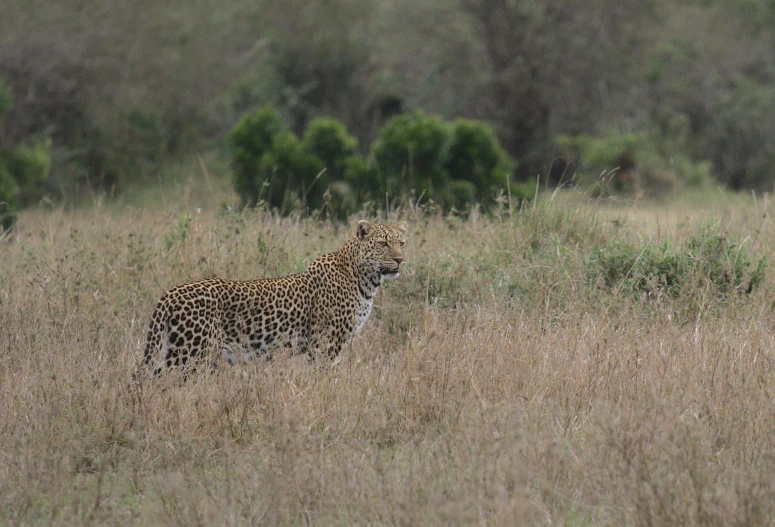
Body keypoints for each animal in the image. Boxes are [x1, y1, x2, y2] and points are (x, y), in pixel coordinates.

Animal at [140, 219, 410, 376]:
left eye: (402, 243)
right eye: (383, 244)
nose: (400, 260)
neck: (365, 279)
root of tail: (170, 293)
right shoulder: (328, 342)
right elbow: (325, 375)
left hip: (180, 350)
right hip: (191, 353)